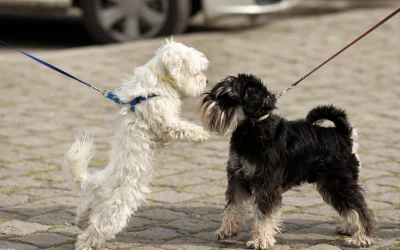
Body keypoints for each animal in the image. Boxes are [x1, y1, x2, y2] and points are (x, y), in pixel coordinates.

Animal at [65, 39, 209, 250]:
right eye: (197, 72)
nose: (207, 81)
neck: (159, 83)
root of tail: (100, 182)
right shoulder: (165, 122)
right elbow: (183, 128)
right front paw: (202, 133)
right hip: (115, 212)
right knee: (96, 230)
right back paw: (85, 243)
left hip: (94, 202)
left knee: (85, 210)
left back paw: (81, 220)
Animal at [202, 73, 374, 248]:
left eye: (229, 97)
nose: (207, 100)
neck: (253, 128)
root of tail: (343, 134)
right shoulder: (237, 176)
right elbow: (233, 205)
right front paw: (227, 230)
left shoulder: (265, 183)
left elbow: (263, 214)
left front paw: (260, 240)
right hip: (331, 185)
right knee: (349, 207)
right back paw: (349, 228)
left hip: (338, 182)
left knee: (360, 208)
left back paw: (361, 237)